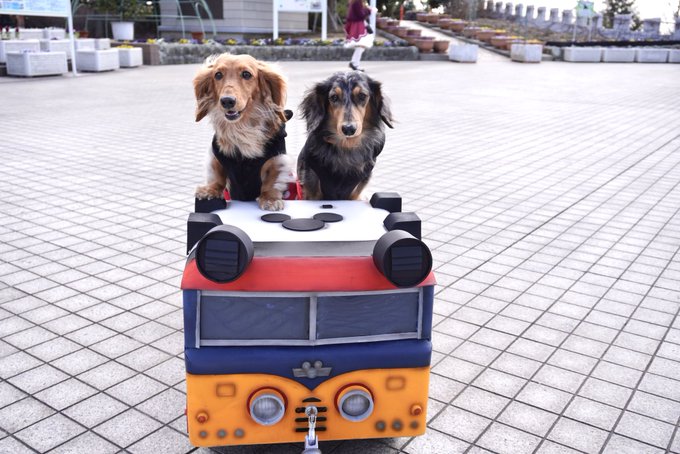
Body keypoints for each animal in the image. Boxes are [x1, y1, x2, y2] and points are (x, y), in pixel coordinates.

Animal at [193, 53, 292, 211]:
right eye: (218, 75)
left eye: (246, 74)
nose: (227, 101)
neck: (241, 128)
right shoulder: (216, 156)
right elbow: (217, 176)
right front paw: (210, 190)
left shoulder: (278, 159)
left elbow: (272, 181)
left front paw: (270, 199)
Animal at [297, 71, 393, 201]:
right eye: (334, 97)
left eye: (362, 96)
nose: (348, 129)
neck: (346, 146)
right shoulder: (311, 187)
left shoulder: (355, 192)